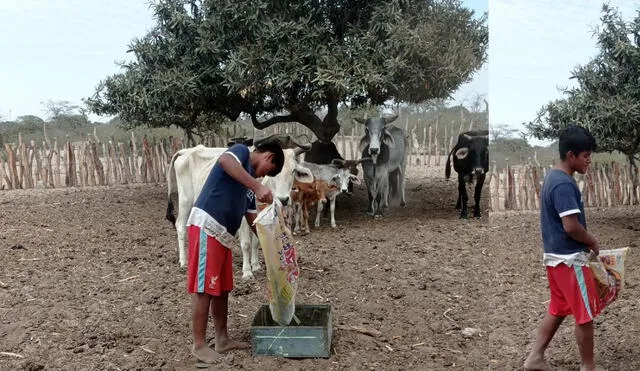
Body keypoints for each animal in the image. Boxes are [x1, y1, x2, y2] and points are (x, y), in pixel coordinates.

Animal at [166, 139, 314, 280]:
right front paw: (247, 272)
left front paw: (256, 265)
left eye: (293, 170)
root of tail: (186, 151)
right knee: (180, 226)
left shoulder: (256, 213)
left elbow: (256, 241)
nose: (283, 199)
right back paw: (184, 261)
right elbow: (247, 243)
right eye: (274, 173)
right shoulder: (243, 216)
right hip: (185, 200)